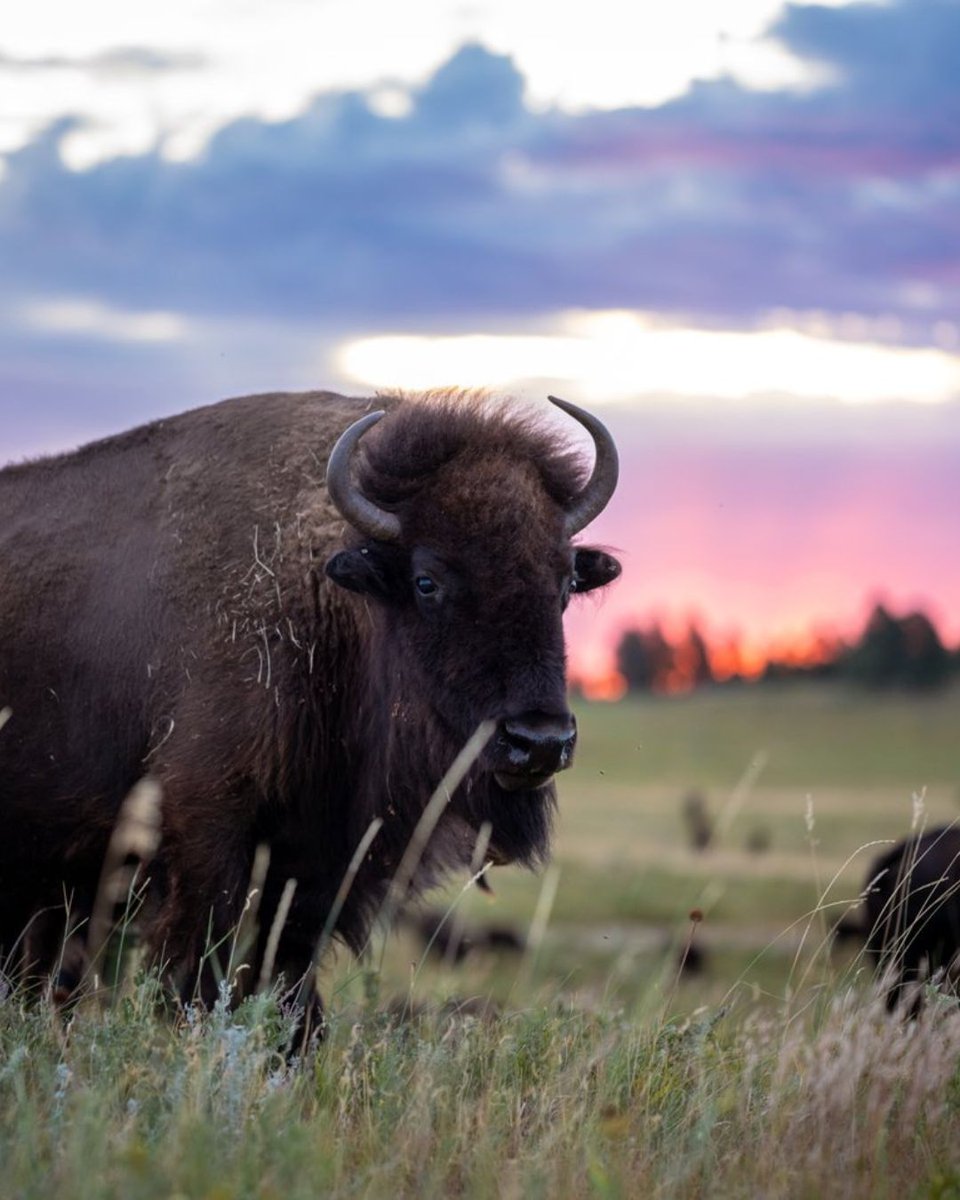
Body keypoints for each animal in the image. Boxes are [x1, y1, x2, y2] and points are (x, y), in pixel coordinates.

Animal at [0, 390, 620, 1031]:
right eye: (426, 581)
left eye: (566, 582)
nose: (540, 741)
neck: (325, 592)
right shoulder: (206, 829)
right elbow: (202, 957)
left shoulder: (319, 859)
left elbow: (288, 972)